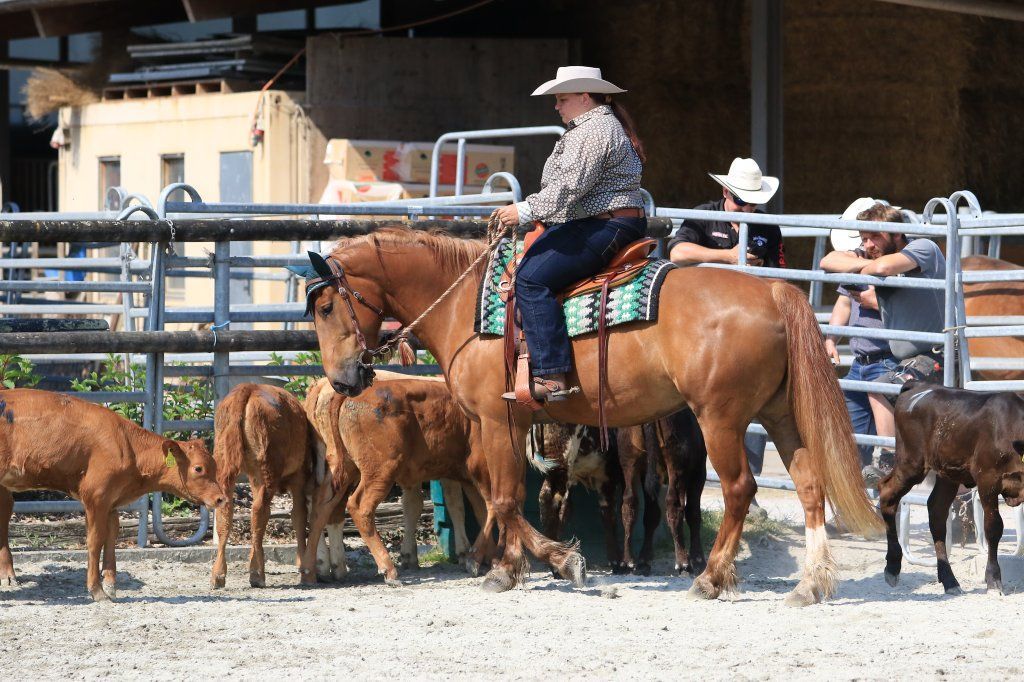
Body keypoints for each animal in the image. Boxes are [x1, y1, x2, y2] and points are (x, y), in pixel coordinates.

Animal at [304, 226, 882, 605]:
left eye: (327, 307)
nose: (344, 380)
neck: (466, 306)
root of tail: (773, 289)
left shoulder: (497, 420)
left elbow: (505, 499)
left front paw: (543, 563)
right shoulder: (511, 429)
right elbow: (509, 499)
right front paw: (521, 564)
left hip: (721, 419)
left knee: (739, 489)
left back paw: (710, 578)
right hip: (780, 416)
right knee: (809, 485)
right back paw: (810, 583)